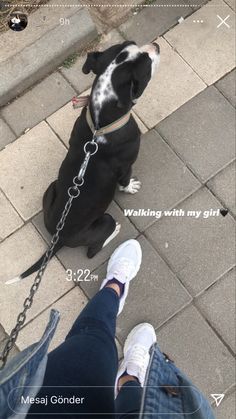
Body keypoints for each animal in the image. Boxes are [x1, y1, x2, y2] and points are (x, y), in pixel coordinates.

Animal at [9, 41, 160, 284]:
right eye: (146, 63)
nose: (155, 45)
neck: (101, 123)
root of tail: (59, 239)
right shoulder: (126, 166)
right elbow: (125, 180)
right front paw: (130, 187)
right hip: (103, 221)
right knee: (93, 250)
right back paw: (114, 231)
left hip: (52, 187)